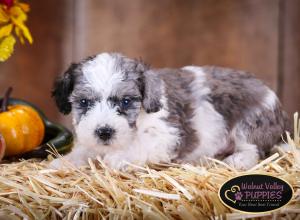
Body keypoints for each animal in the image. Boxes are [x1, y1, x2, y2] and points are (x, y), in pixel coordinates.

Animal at [49, 52, 290, 171]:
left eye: (126, 101)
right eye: (84, 102)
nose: (104, 132)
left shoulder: (167, 135)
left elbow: (141, 146)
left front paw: (120, 158)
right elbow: (84, 151)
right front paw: (64, 162)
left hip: (249, 124)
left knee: (254, 150)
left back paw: (238, 160)